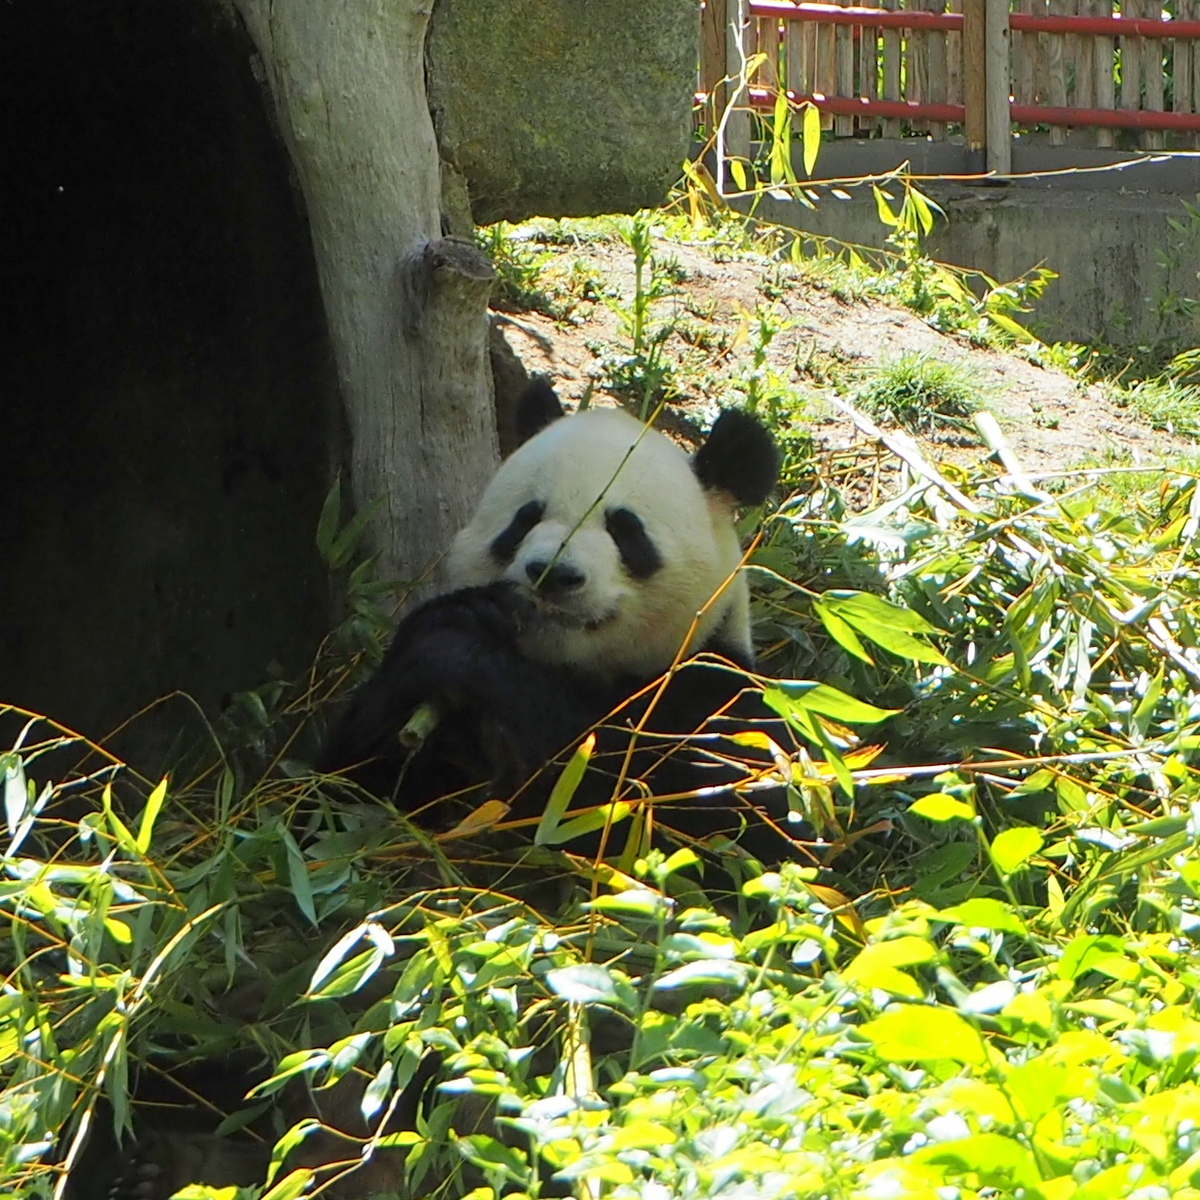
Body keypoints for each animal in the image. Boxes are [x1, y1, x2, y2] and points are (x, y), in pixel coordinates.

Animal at [318, 379, 789, 854]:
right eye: (527, 517)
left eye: (624, 528)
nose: (554, 575)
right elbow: (348, 780)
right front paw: (459, 630)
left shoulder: (717, 692)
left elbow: (674, 797)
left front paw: (468, 661)